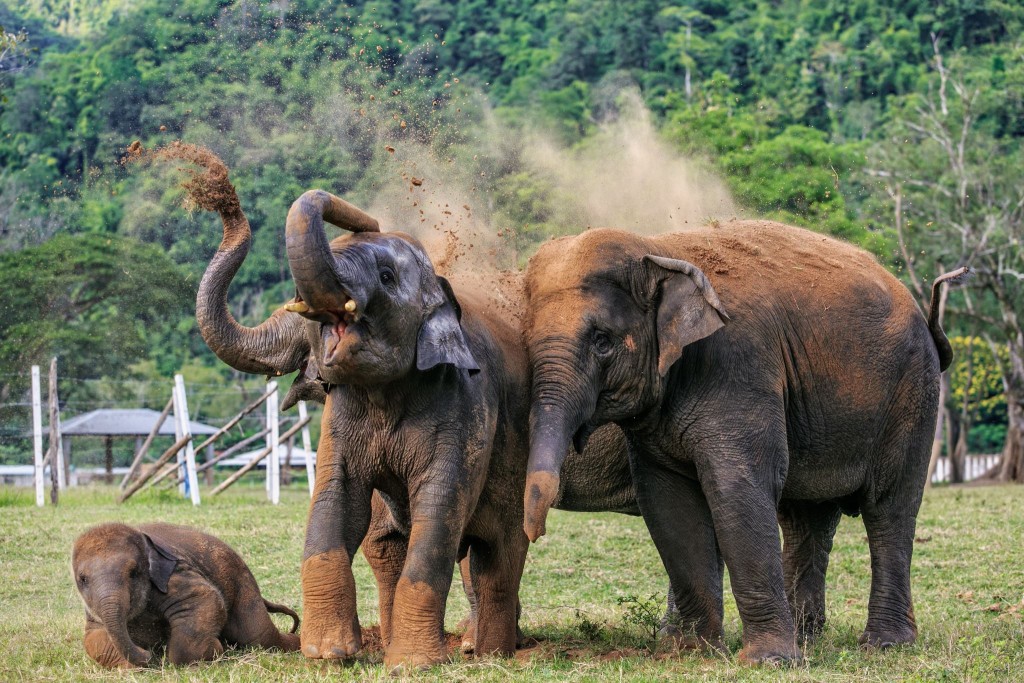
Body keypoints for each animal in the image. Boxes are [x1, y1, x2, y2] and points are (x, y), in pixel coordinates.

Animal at [69, 524, 296, 667]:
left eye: (133, 573)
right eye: (83, 579)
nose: (149, 654)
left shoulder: (174, 575)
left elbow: (204, 598)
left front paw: (216, 652)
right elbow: (94, 637)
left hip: (243, 584)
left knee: (258, 636)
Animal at [520, 222, 966, 663]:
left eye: (602, 341)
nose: (536, 533)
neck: (657, 249)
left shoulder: (737, 366)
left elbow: (737, 488)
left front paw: (767, 661)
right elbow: (667, 500)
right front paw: (690, 652)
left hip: (913, 393)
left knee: (889, 508)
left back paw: (884, 645)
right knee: (808, 517)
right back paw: (807, 640)